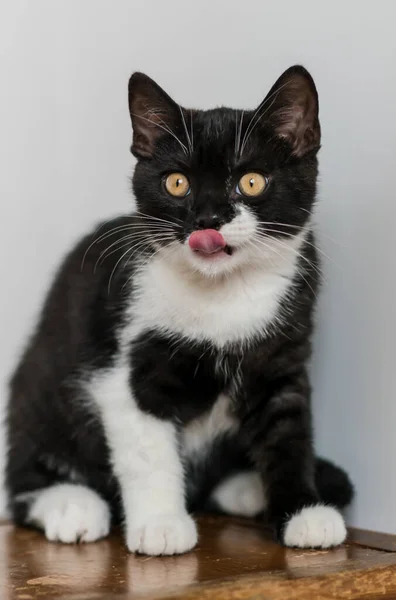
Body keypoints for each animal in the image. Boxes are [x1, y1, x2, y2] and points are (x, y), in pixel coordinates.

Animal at [5, 64, 352, 552]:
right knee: (27, 477)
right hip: (40, 387)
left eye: (251, 181)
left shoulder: (283, 359)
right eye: (176, 182)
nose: (207, 220)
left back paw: (247, 488)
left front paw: (303, 512)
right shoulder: (125, 366)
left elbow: (289, 435)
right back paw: (70, 505)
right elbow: (147, 452)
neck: (223, 292)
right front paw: (160, 525)